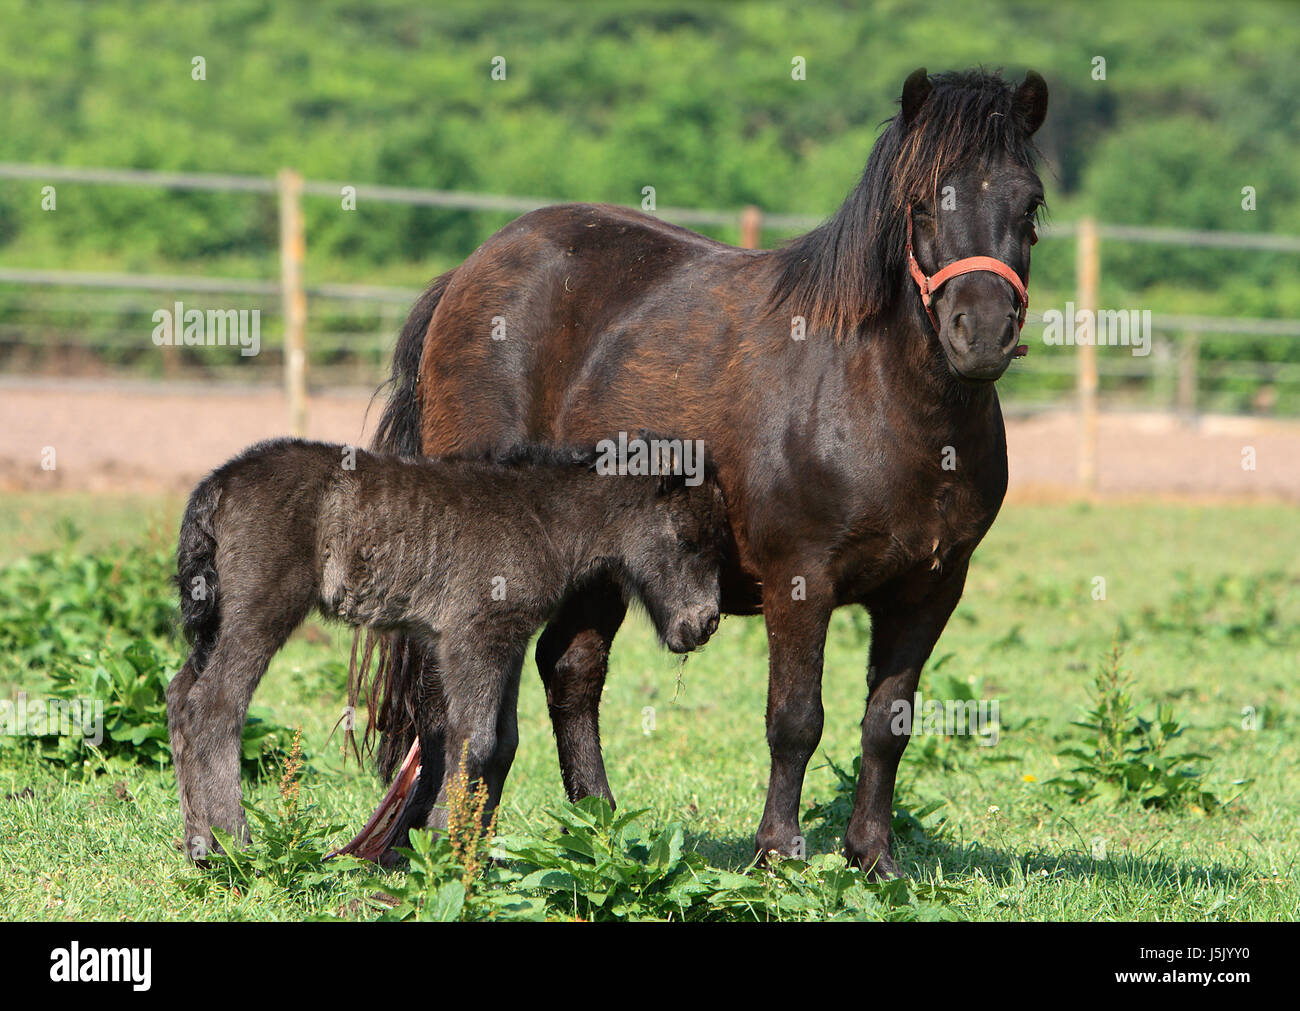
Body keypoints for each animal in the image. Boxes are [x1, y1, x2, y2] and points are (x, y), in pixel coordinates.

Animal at [163, 434, 728, 857]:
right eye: (689, 540)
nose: (704, 625)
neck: (543, 519)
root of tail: (217, 483)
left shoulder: (507, 640)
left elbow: (504, 742)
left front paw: (472, 855)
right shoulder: (471, 637)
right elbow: (472, 740)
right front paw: (439, 845)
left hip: (216, 619)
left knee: (180, 695)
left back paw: (199, 844)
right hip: (261, 609)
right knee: (216, 705)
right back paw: (237, 842)